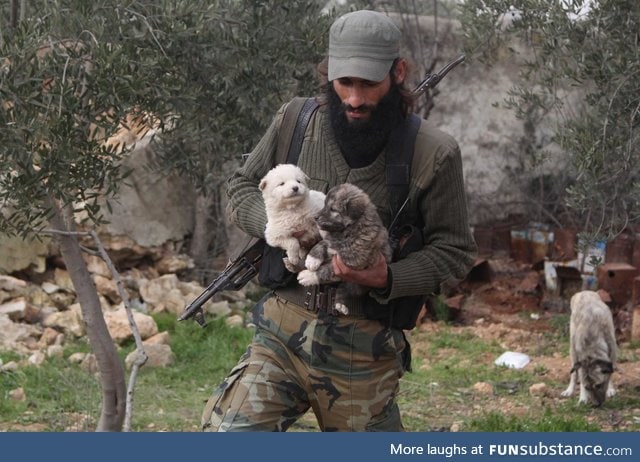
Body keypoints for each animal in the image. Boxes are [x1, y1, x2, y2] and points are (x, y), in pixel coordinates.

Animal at [296, 182, 390, 316]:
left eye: (333, 209)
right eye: (324, 204)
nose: (315, 217)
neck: (347, 231)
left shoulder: (351, 264)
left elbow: (326, 270)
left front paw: (309, 276)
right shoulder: (331, 241)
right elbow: (322, 244)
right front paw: (312, 260)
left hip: (356, 284)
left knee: (344, 289)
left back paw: (340, 305)